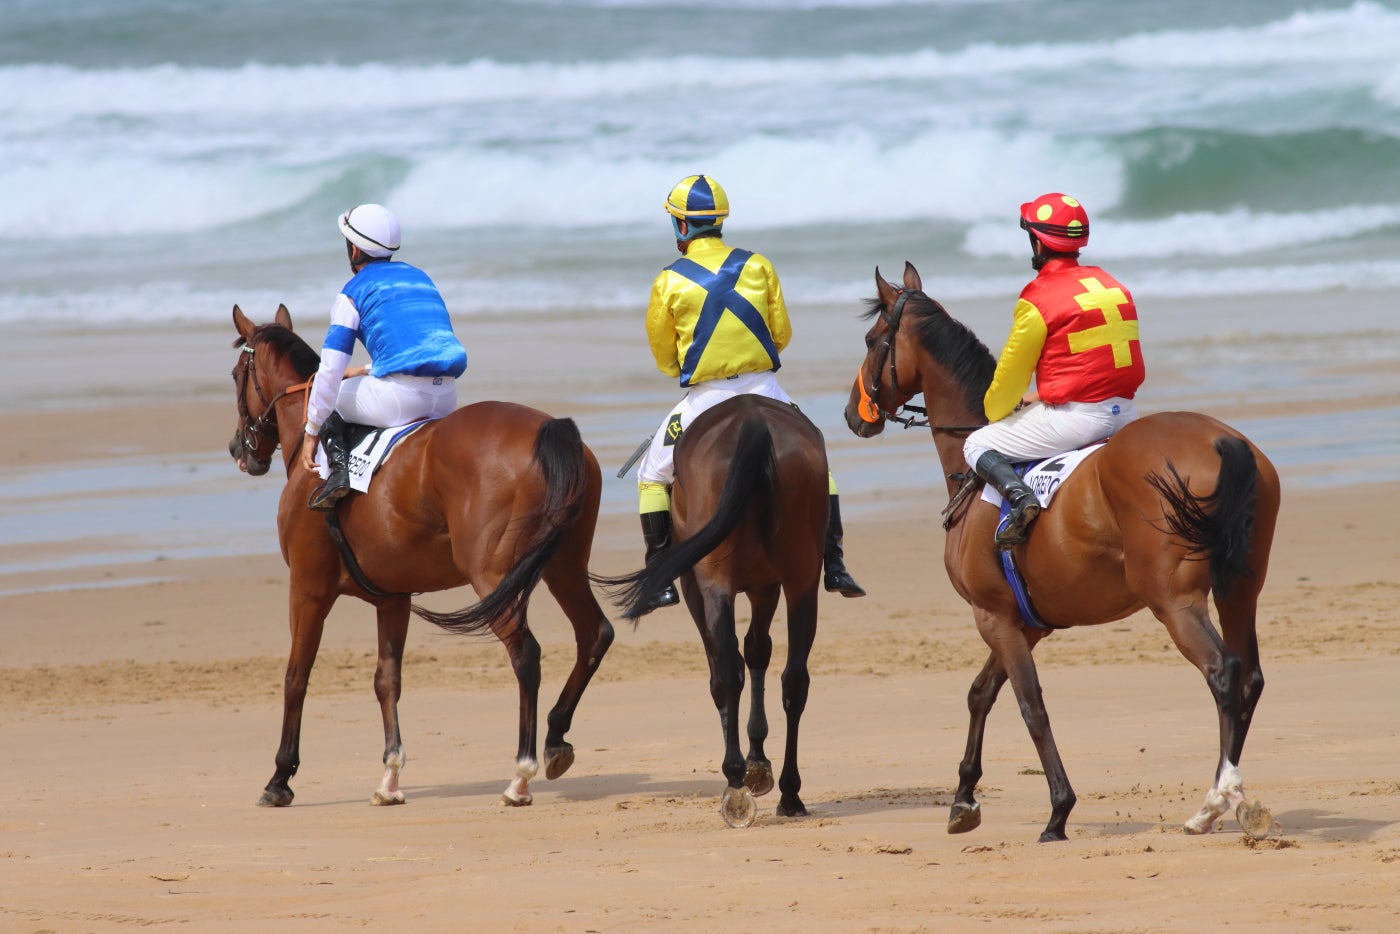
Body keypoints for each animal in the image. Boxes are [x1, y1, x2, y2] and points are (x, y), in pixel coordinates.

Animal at [229, 305, 613, 812]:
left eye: (237, 374)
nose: (238, 449)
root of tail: (550, 427)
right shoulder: (392, 599)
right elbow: (386, 679)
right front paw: (390, 777)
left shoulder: (308, 591)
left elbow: (297, 676)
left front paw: (280, 777)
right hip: (562, 566)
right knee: (594, 634)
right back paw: (554, 741)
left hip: (493, 575)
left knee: (526, 653)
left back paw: (521, 775)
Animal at [604, 392, 823, 823]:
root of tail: (753, 419)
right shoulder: (767, 586)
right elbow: (757, 651)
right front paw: (759, 762)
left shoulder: (697, 586)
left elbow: (728, 665)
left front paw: (749, 767)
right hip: (803, 581)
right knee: (794, 679)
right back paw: (790, 793)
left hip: (713, 582)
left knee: (725, 672)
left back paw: (735, 784)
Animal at [840, 264, 1282, 845]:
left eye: (873, 341)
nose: (852, 415)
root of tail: (1222, 440)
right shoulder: (1025, 621)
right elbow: (981, 693)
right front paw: (963, 799)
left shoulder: (995, 617)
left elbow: (1031, 707)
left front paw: (1058, 811)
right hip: (1238, 590)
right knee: (1249, 675)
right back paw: (1233, 799)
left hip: (1174, 601)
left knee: (1223, 672)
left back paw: (1212, 803)